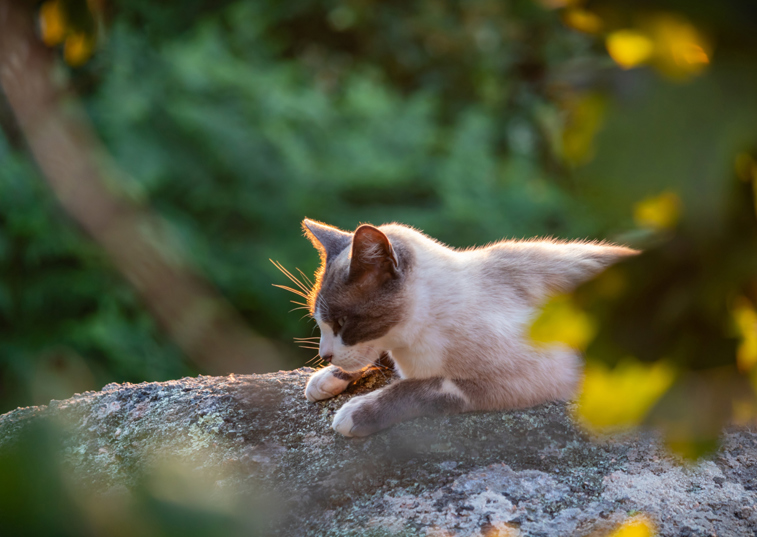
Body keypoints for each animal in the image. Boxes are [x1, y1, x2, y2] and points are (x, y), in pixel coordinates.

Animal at [292, 218, 636, 436]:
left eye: (343, 322)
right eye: (320, 322)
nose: (325, 355)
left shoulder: (542, 372)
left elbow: (426, 385)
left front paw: (355, 413)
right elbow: (380, 358)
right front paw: (326, 379)